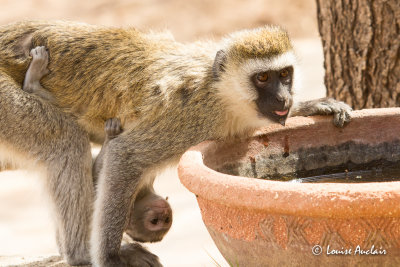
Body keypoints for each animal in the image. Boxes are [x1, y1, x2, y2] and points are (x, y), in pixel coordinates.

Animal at [21, 46, 172, 245]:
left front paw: (110, 136)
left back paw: (32, 84)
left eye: (163, 221)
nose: (164, 213)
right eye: (156, 221)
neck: (141, 194)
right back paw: (33, 82)